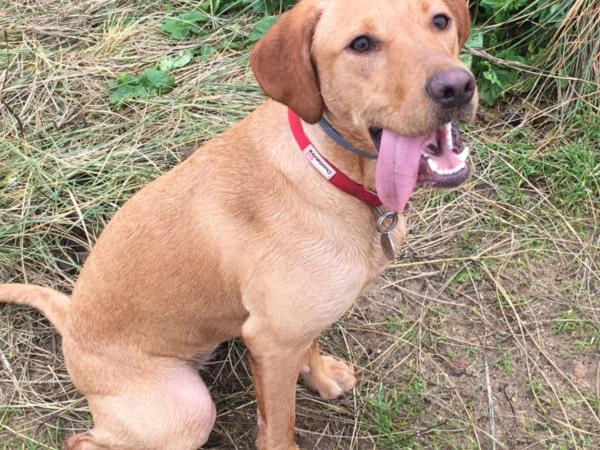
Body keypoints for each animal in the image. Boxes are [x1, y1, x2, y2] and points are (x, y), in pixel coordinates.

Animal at [1, 1, 478, 448]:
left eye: (439, 21)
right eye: (361, 44)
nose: (457, 87)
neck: (331, 174)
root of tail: (71, 322)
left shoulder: (297, 325)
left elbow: (311, 347)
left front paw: (322, 376)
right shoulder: (271, 340)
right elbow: (279, 427)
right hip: (186, 409)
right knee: (82, 439)